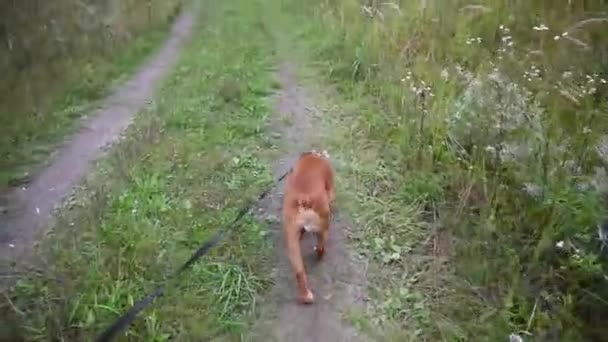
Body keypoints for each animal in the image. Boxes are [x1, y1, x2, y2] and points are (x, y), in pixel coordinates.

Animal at [282, 151, 334, 304]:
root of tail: (304, 200)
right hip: (323, 227)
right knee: (321, 247)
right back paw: (320, 255)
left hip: (292, 240)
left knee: (299, 271)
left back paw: (305, 297)